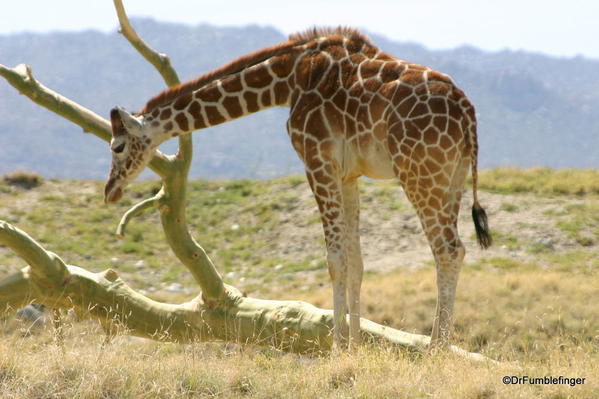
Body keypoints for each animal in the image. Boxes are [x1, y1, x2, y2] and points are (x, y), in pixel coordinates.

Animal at [105, 27, 494, 350]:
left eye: (117, 146)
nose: (111, 190)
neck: (288, 80)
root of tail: (468, 113)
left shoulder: (316, 161)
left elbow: (335, 260)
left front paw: (336, 350)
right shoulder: (347, 175)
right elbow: (356, 261)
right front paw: (355, 348)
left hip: (420, 173)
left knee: (448, 250)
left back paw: (435, 352)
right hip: (452, 178)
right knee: (453, 250)